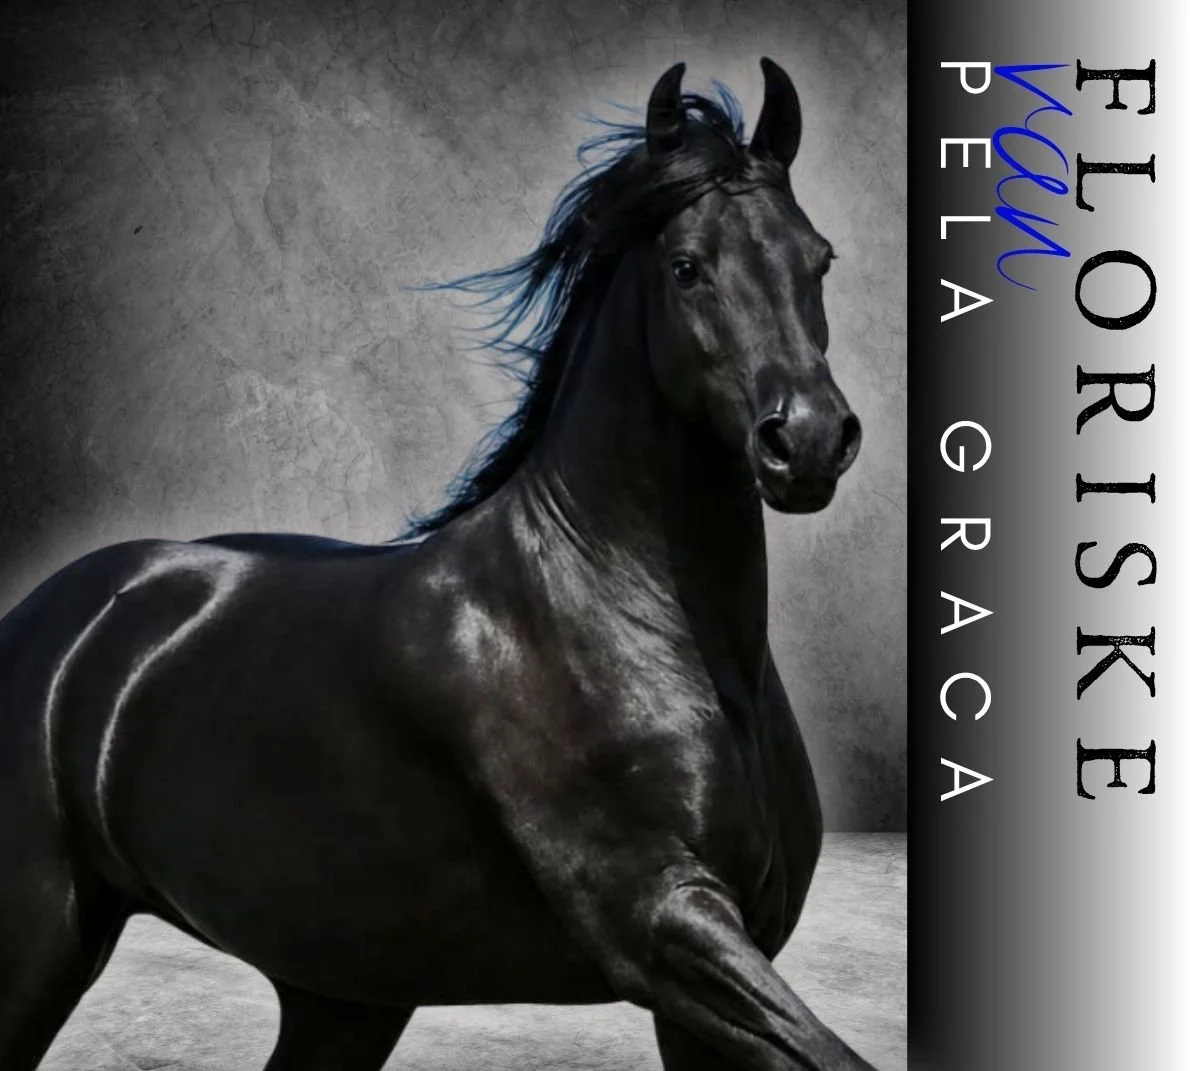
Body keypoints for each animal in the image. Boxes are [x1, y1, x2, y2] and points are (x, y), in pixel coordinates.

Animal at [0, 59, 874, 1070]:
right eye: (688, 266)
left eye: (818, 259)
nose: (807, 441)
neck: (628, 614)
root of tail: (55, 616)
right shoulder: (663, 923)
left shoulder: (716, 969)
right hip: (41, 938)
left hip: (343, 995)